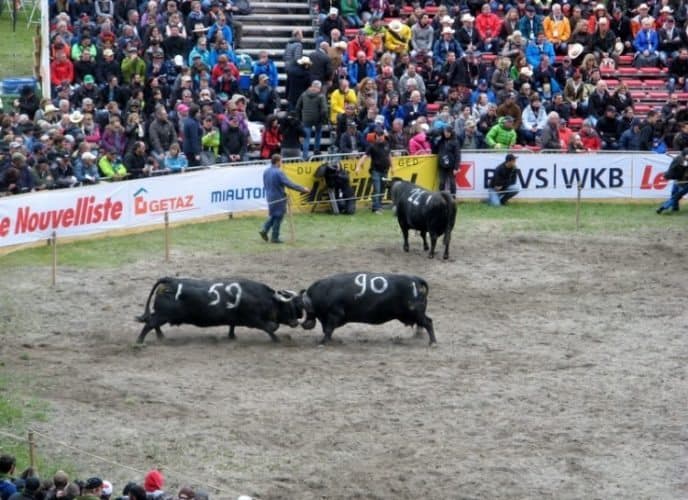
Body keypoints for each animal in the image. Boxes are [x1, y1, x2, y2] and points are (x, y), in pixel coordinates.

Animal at [137, 278, 304, 344]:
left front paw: (231, 337)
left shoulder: (235, 318)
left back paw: (161, 337)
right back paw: (139, 343)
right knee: (149, 324)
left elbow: (232, 326)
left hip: (161, 314)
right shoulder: (253, 320)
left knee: (151, 322)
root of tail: (169, 280)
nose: (296, 323)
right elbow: (270, 327)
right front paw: (277, 340)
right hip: (163, 315)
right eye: (288, 307)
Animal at [300, 272, 436, 346]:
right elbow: (327, 330)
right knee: (423, 324)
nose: (305, 324)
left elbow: (328, 330)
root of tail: (416, 280)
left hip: (416, 312)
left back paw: (433, 342)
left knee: (428, 322)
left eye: (305, 310)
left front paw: (323, 342)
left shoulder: (334, 315)